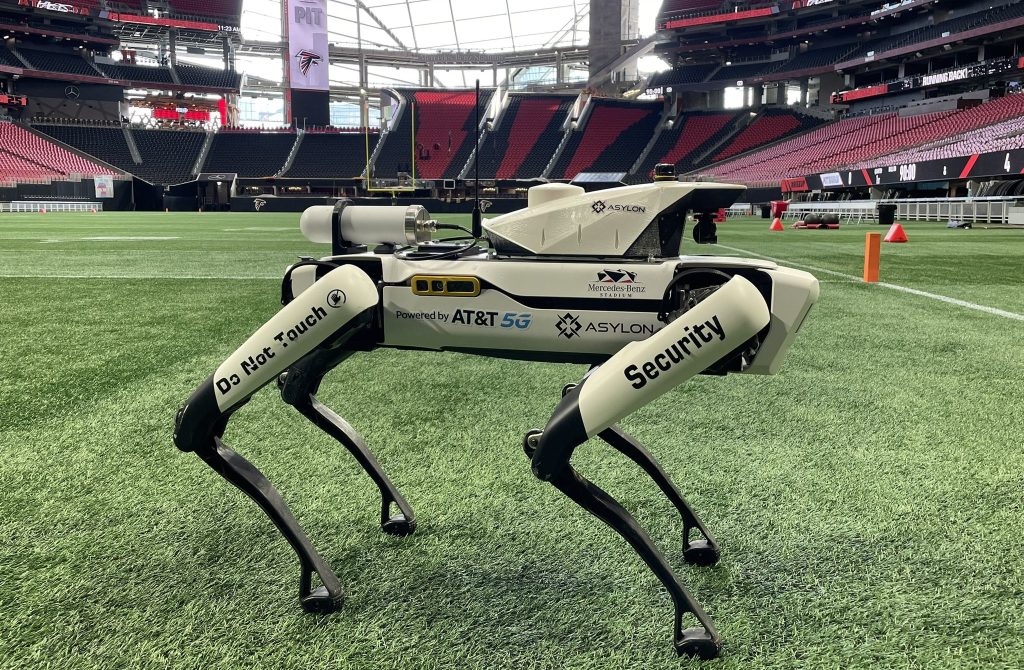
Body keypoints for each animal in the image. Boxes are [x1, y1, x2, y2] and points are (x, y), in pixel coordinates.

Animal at [172, 180, 819, 659]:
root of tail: (304, 265)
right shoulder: (356, 297)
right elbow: (555, 447)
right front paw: (696, 626)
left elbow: (563, 434)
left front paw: (695, 570)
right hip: (346, 300)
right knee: (237, 404)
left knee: (297, 390)